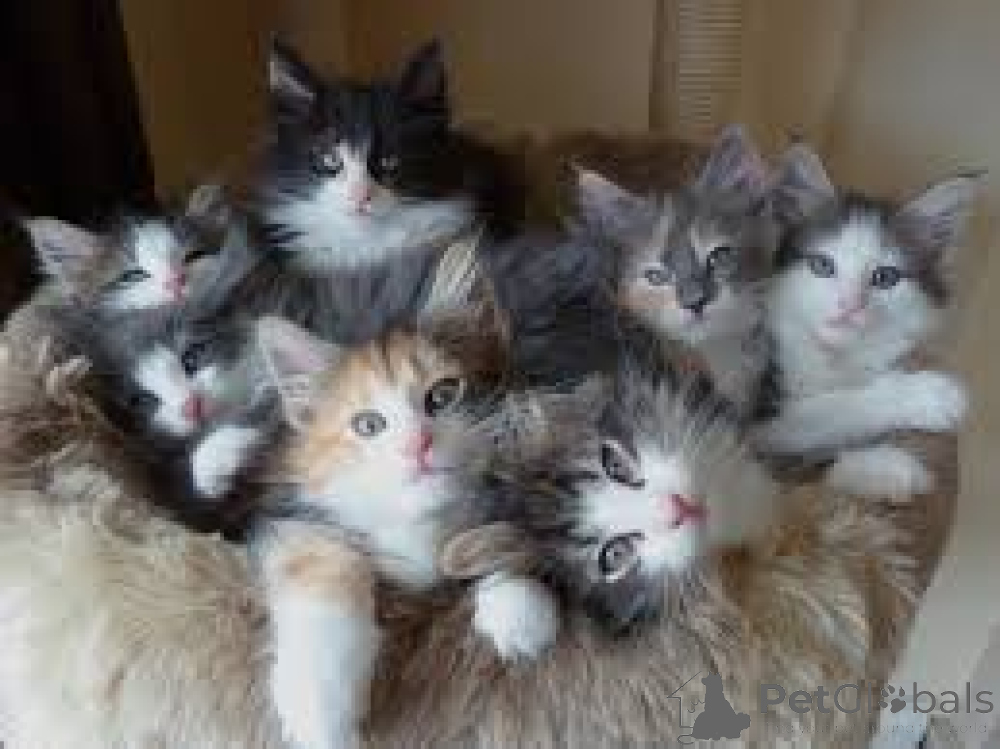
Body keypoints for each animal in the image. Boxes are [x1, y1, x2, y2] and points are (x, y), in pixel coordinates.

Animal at [252, 313, 561, 749]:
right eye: (368, 425)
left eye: (443, 395)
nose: (418, 444)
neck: (420, 523)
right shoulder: (299, 519)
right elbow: (323, 568)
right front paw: (321, 709)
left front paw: (517, 602)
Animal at [751, 142, 976, 498]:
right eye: (822, 265)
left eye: (885, 277)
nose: (849, 306)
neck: (836, 359)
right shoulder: (763, 421)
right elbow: (828, 410)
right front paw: (927, 396)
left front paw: (882, 472)